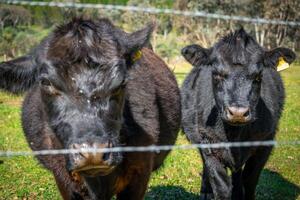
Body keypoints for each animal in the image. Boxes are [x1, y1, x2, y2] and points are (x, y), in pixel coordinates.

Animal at [180, 28, 296, 200]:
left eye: (258, 76)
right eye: (216, 74)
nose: (238, 113)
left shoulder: (265, 143)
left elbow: (249, 181)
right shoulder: (208, 142)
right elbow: (221, 185)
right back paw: (206, 191)